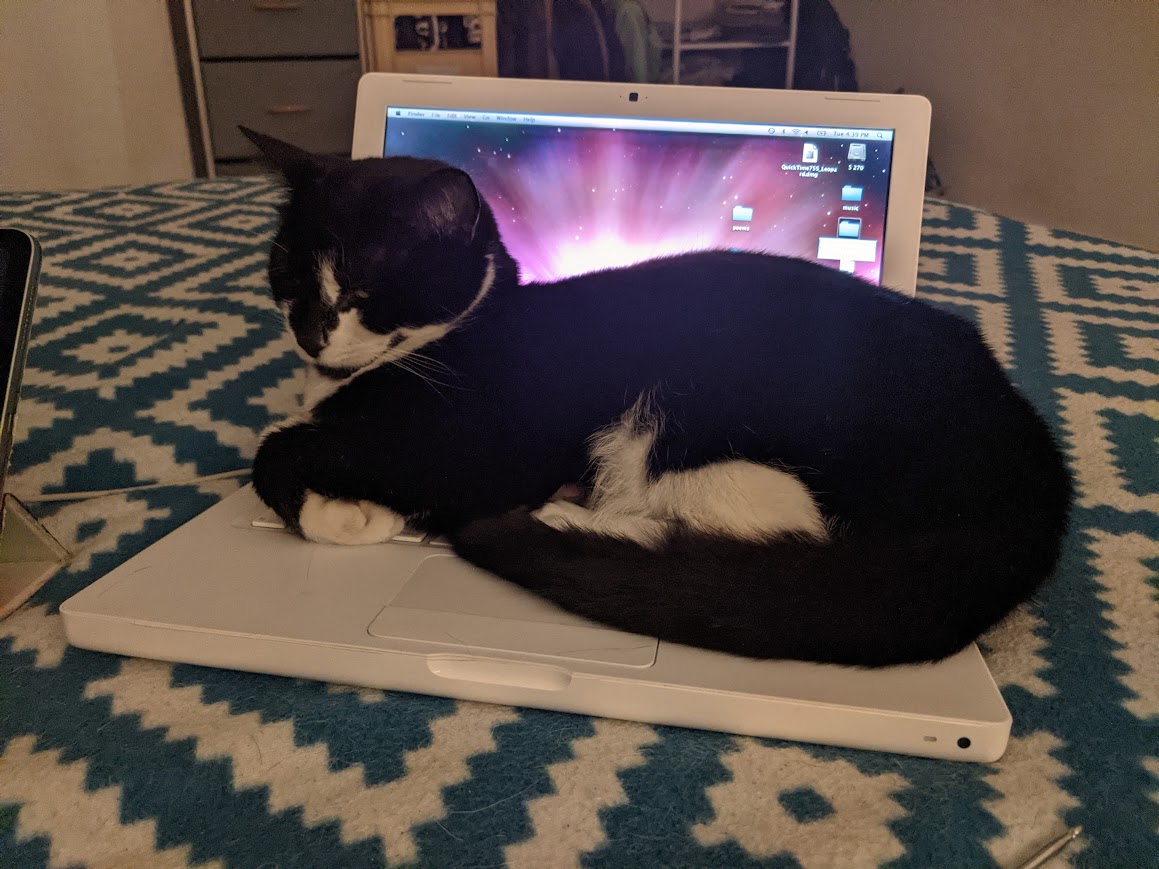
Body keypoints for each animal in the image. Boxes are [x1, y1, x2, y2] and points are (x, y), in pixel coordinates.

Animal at [239, 129, 1070, 672]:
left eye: (361, 290)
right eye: (286, 272)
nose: (310, 333)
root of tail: (1036, 478)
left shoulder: (477, 446)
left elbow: (276, 448)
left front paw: (341, 514)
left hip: (703, 420)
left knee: (770, 527)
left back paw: (568, 518)